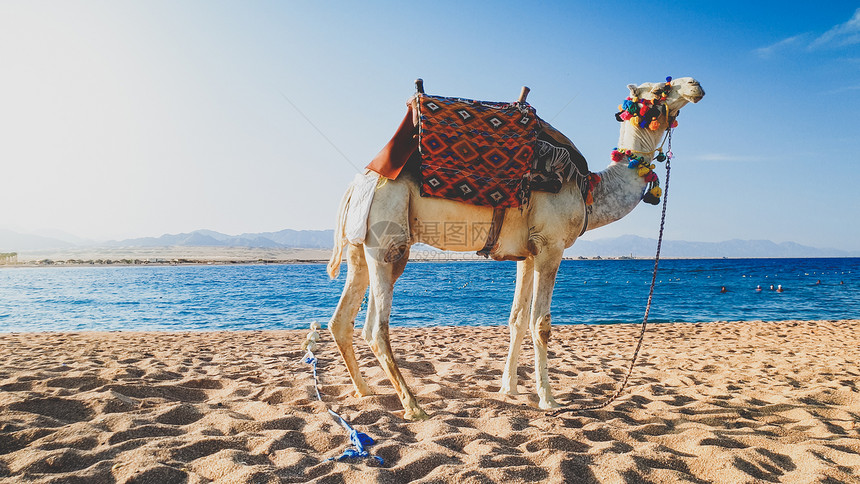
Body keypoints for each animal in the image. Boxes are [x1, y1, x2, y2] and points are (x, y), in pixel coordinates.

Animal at [326, 76, 704, 420]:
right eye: (660, 89)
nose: (695, 85)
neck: (588, 190)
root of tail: (356, 184)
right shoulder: (551, 246)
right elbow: (542, 324)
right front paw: (548, 400)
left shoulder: (527, 254)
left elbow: (517, 320)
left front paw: (509, 389)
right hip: (389, 243)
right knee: (376, 328)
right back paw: (413, 405)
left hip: (362, 250)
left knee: (344, 321)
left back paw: (365, 391)